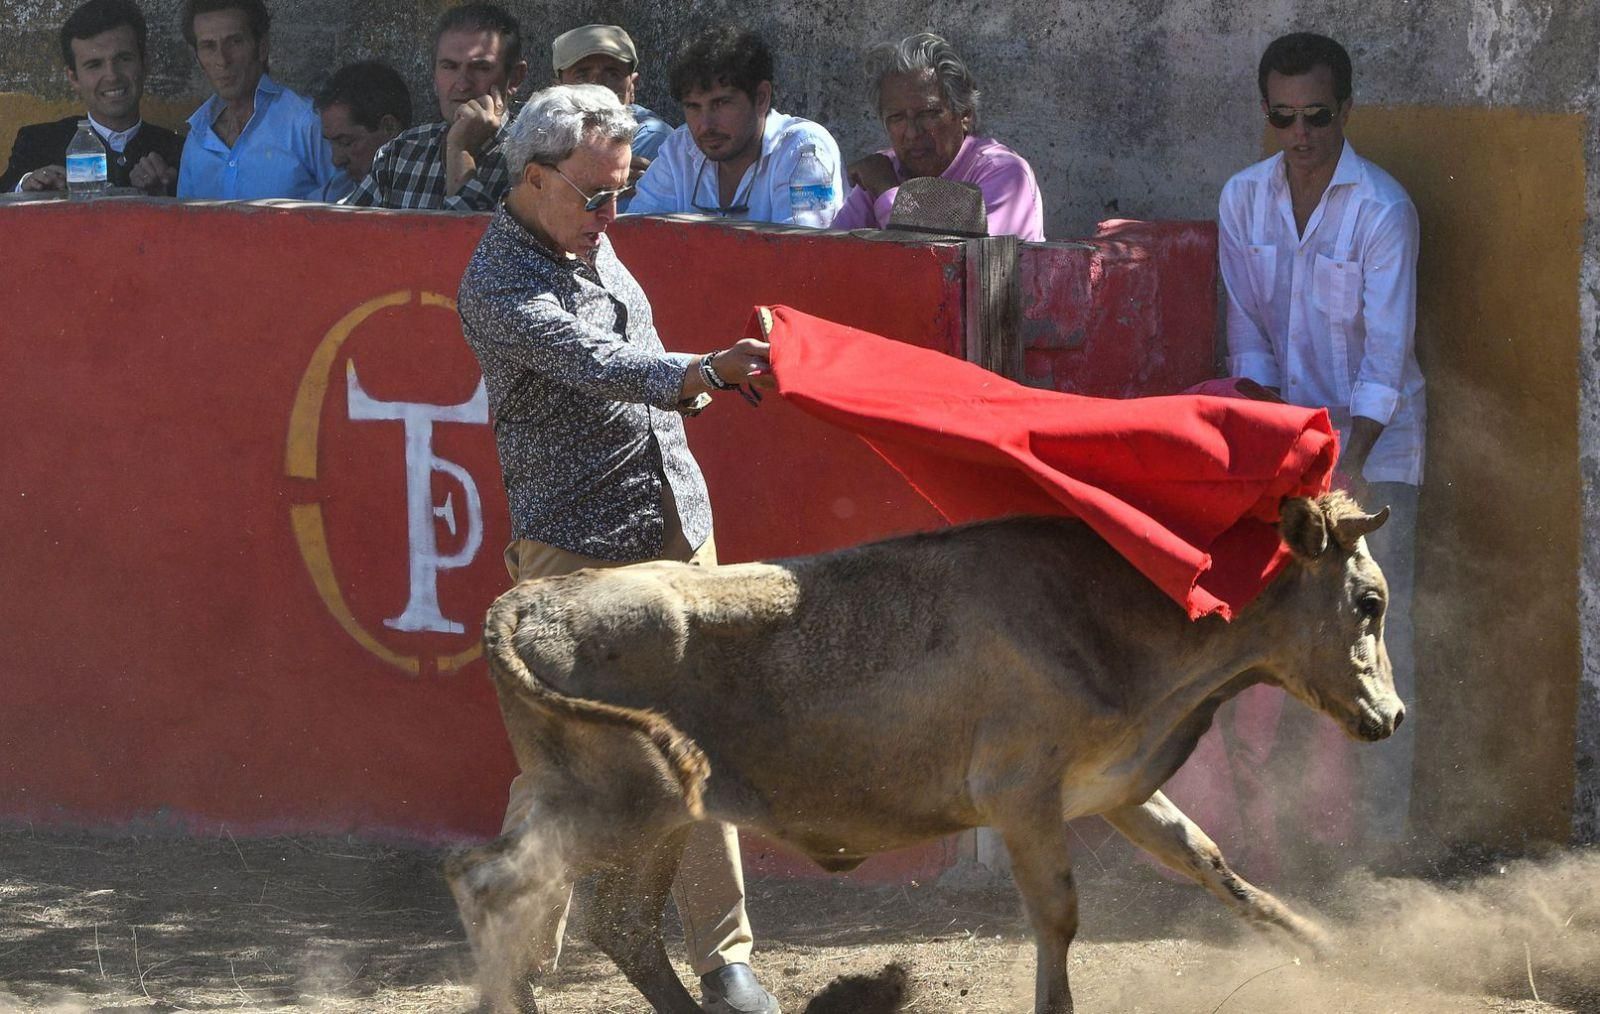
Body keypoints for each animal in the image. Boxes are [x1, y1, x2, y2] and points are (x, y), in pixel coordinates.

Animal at [448, 489, 1401, 1010]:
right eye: (1370, 602)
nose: (1392, 716)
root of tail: (530, 601)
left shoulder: (1118, 786)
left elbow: (1211, 861)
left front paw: (1333, 950)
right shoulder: (1023, 797)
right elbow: (1059, 916)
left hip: (617, 812)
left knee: (596, 917)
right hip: (618, 810)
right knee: (507, 888)